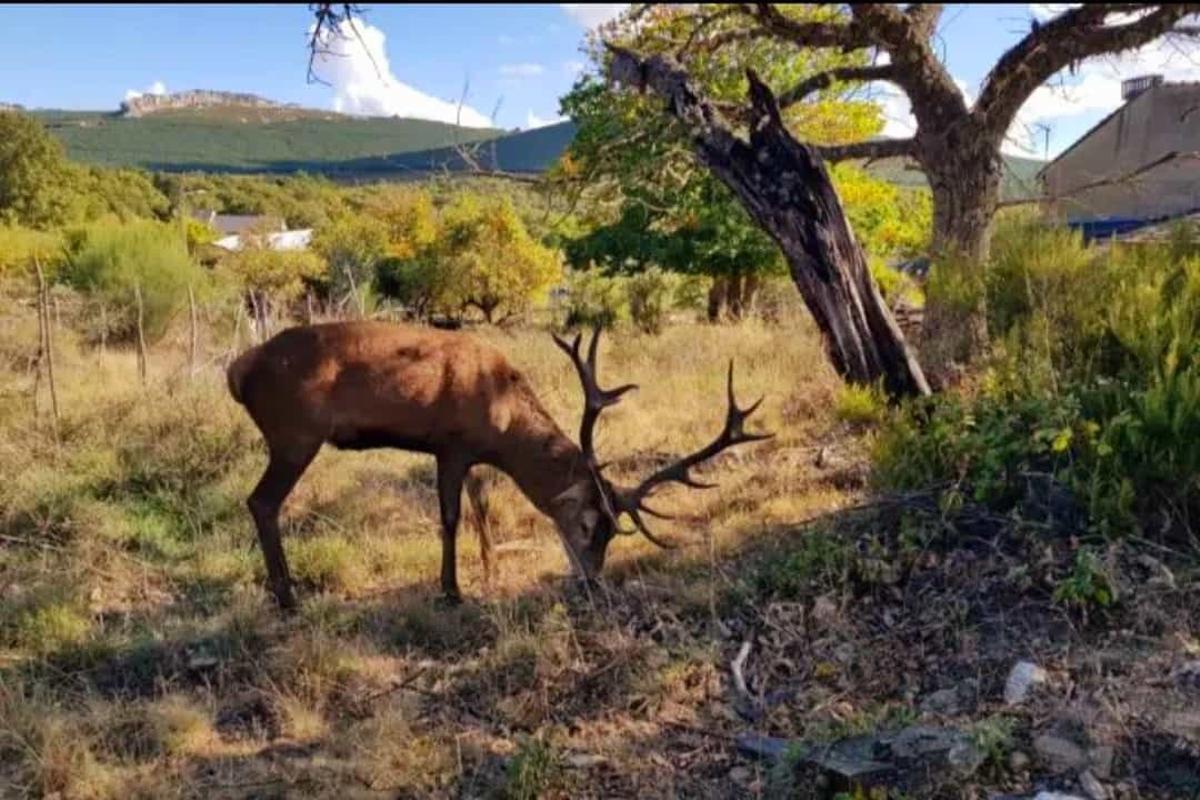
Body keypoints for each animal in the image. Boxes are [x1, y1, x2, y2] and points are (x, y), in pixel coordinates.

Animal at [226, 321, 768, 609]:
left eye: (613, 534)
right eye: (587, 523)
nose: (592, 581)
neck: (502, 421)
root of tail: (237, 370)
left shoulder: (473, 458)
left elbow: (481, 507)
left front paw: (488, 570)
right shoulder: (450, 445)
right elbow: (450, 518)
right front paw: (452, 590)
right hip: (295, 434)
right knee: (261, 502)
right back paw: (287, 598)